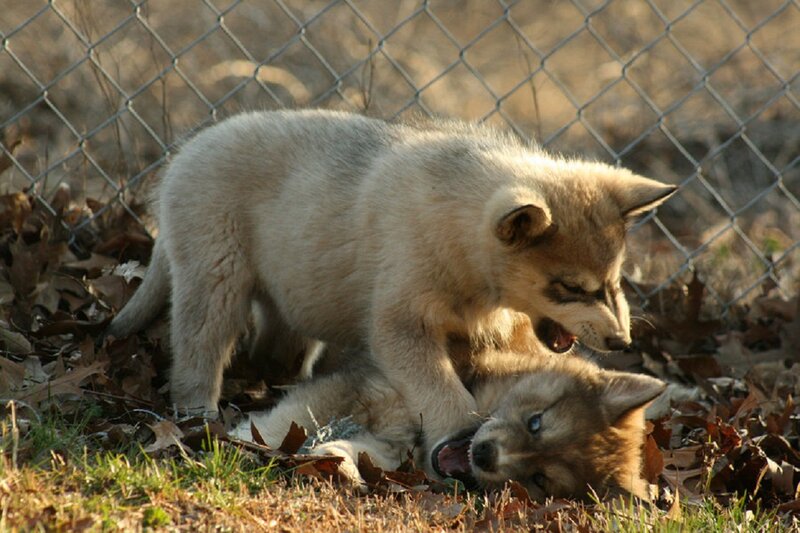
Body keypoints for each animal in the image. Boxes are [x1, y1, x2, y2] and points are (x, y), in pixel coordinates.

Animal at [107, 109, 675, 466]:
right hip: (215, 277)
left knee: (274, 354)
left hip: (291, 305)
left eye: (613, 283)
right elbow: (443, 390)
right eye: (570, 287)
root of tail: (186, 151)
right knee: (197, 349)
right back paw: (198, 413)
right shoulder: (401, 326)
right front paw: (455, 433)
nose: (623, 342)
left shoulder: (495, 332)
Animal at [236, 348, 665, 500]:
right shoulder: (357, 386)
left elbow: (359, 451)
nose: (485, 456)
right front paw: (242, 441)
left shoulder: (392, 449)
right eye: (536, 422)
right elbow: (287, 417)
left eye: (539, 479)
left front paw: (338, 465)